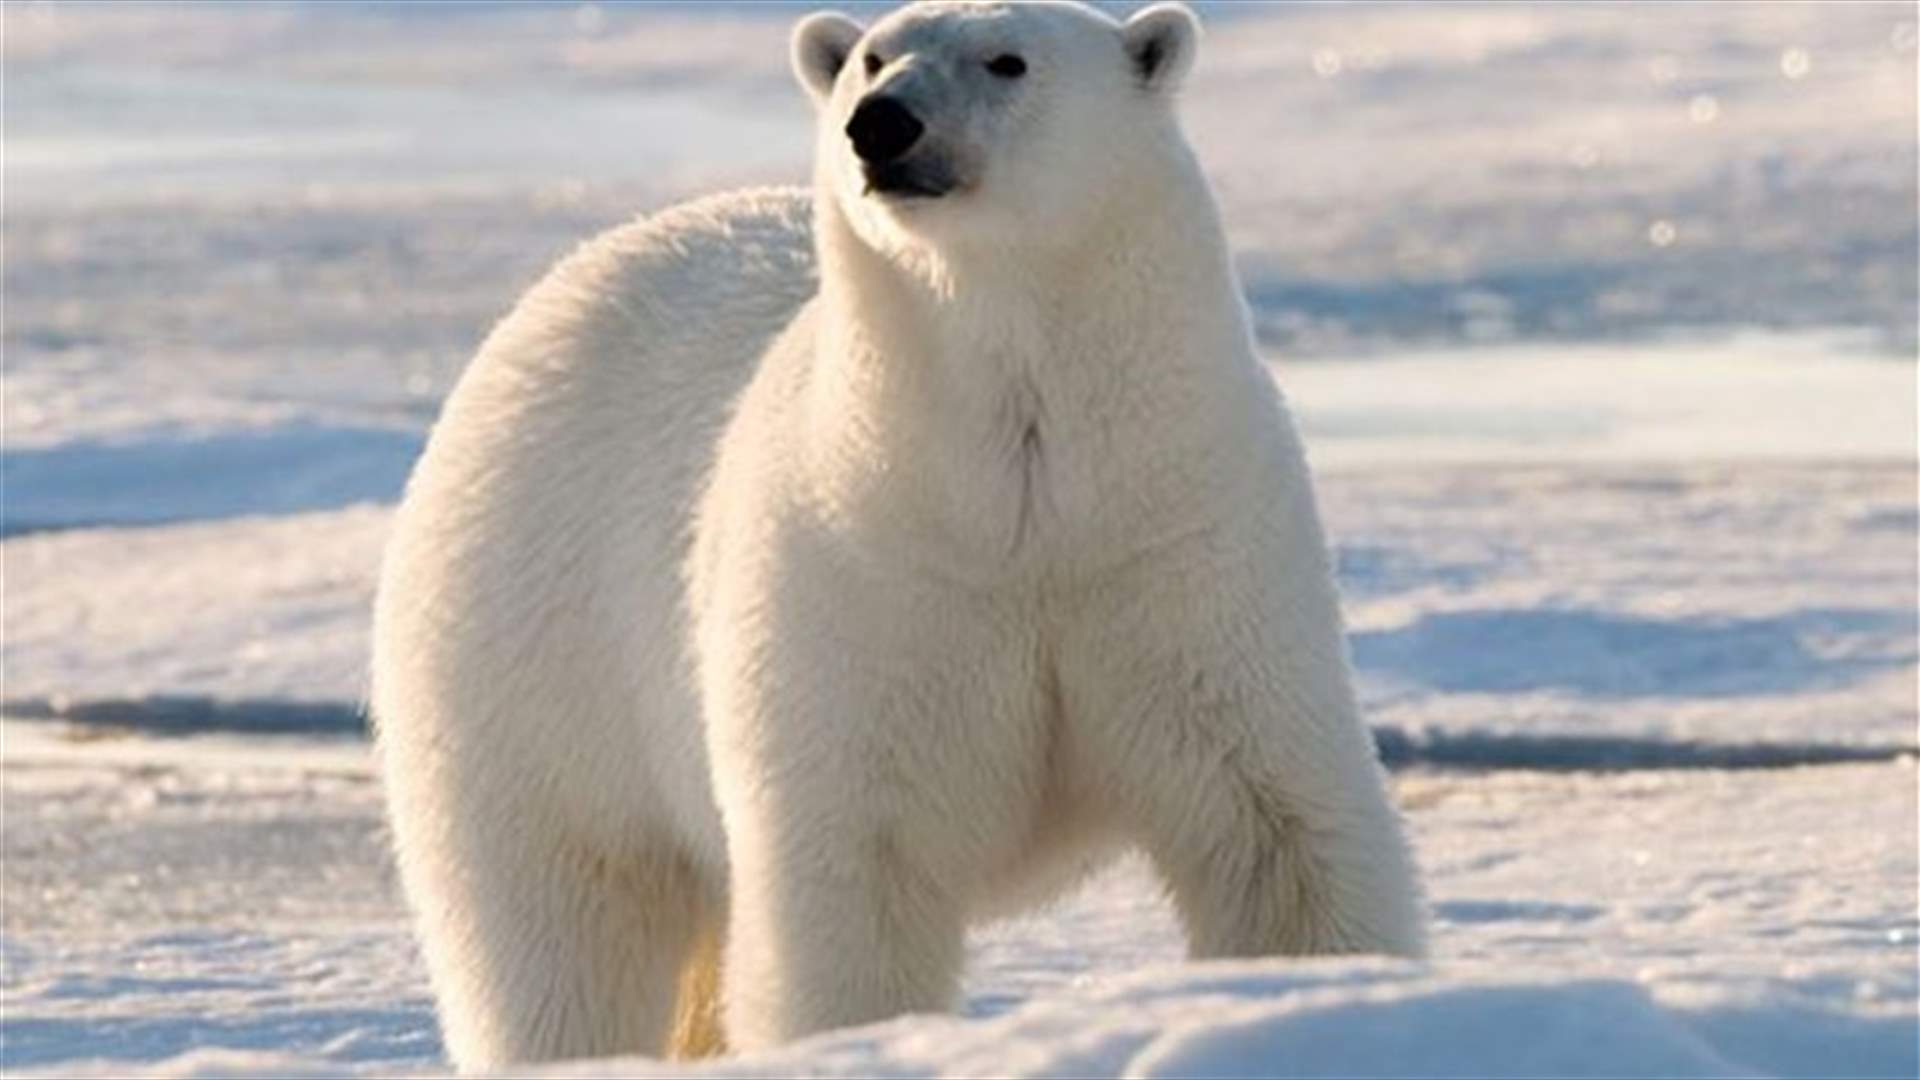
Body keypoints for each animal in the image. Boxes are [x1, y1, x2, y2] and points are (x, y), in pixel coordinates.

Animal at [372, 1, 1425, 1071]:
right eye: (873, 56)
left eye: (1008, 60)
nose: (881, 125)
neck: (1022, 502)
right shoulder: (863, 578)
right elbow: (856, 873)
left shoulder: (1182, 543)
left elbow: (1273, 823)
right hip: (533, 657)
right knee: (562, 929)